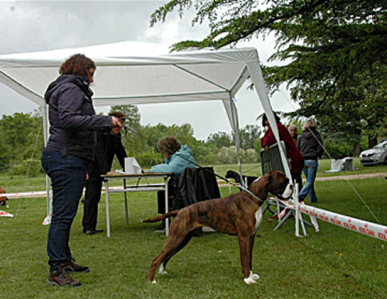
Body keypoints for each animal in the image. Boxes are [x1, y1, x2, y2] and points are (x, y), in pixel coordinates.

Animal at [141, 171, 292, 286]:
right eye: (284, 182)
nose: (292, 186)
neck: (253, 198)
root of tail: (180, 210)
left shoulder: (251, 237)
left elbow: (249, 259)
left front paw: (251, 275)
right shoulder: (243, 237)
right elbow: (245, 258)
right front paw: (247, 279)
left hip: (181, 240)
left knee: (166, 256)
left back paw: (161, 272)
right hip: (176, 238)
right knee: (157, 259)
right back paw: (152, 281)